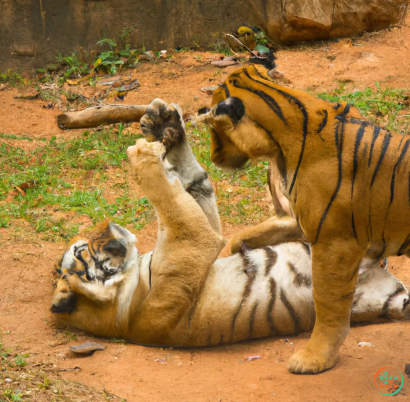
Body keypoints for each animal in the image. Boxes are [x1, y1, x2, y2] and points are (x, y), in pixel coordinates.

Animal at [51, 99, 410, 348]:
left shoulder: (200, 230)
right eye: (83, 251)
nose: (107, 226)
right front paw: (142, 155)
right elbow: (171, 198)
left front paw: (165, 123)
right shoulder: (192, 242)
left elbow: (189, 185)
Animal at [199, 63, 410, 374]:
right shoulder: (303, 222)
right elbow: (248, 235)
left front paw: (314, 359)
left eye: (214, 127)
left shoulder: (334, 241)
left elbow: (328, 301)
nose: (214, 158)